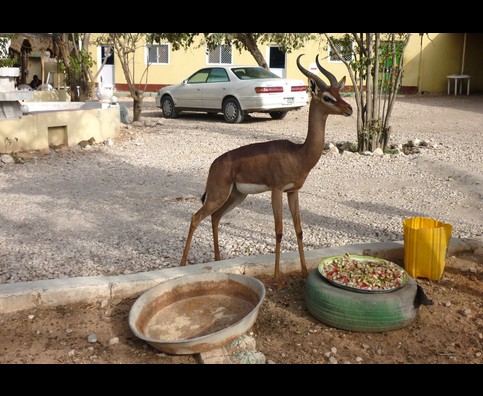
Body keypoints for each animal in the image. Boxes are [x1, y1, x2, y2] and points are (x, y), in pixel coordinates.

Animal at [180, 53, 354, 288]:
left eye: (339, 93)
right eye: (327, 97)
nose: (349, 109)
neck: (298, 154)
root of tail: (215, 163)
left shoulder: (293, 191)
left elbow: (299, 230)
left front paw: (304, 271)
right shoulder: (276, 190)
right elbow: (279, 230)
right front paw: (277, 278)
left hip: (236, 196)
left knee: (215, 217)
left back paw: (217, 259)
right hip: (218, 195)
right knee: (195, 217)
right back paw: (182, 265)